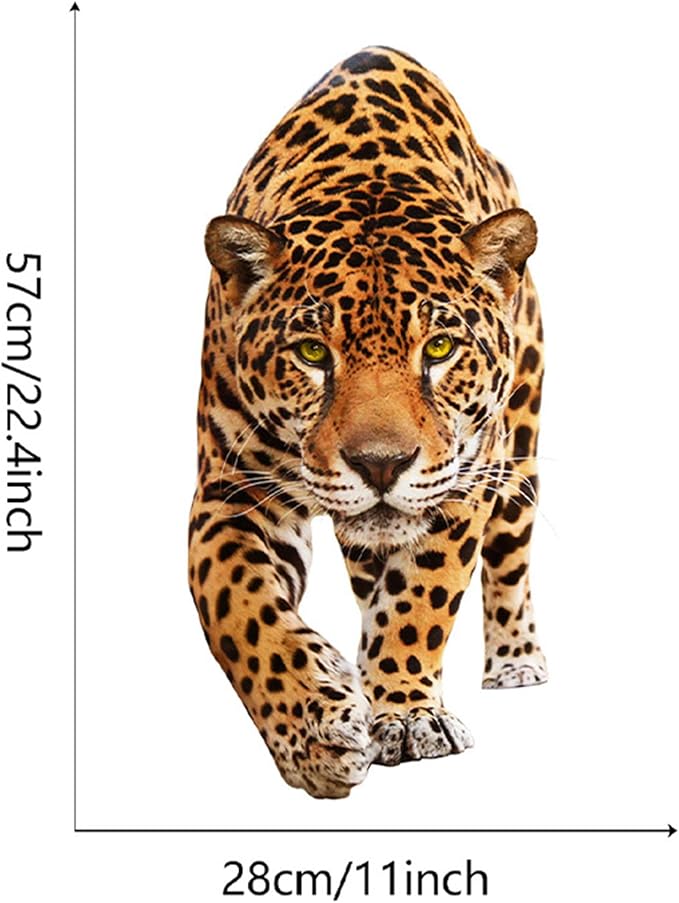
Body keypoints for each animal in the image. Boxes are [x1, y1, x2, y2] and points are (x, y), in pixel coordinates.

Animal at [188, 46, 547, 799]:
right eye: (311, 353)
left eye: (438, 349)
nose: (380, 464)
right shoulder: (231, 492)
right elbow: (240, 611)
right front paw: (314, 733)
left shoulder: (462, 478)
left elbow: (422, 597)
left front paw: (407, 714)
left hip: (521, 450)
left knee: (509, 557)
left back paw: (515, 659)